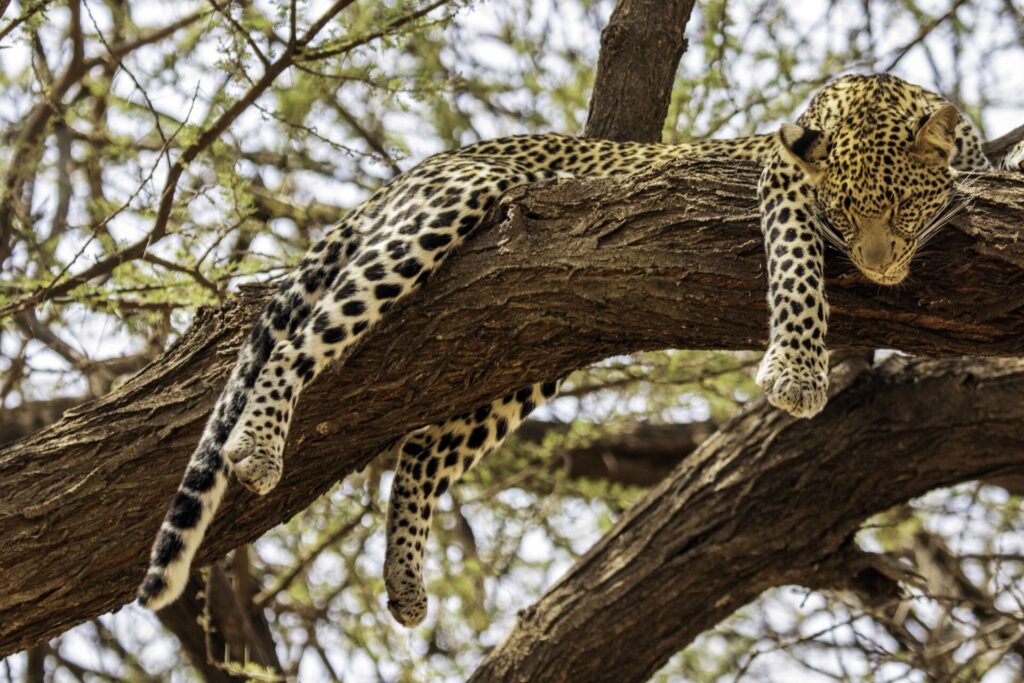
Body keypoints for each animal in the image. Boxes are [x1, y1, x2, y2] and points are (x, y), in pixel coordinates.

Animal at [138, 73, 1024, 626]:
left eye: (903, 205)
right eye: (841, 208)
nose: (879, 267)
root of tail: (419, 167)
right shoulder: (778, 180)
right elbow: (797, 269)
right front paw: (800, 370)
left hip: (517, 354)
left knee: (420, 449)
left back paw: (405, 581)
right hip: (441, 213)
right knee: (297, 345)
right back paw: (257, 445)